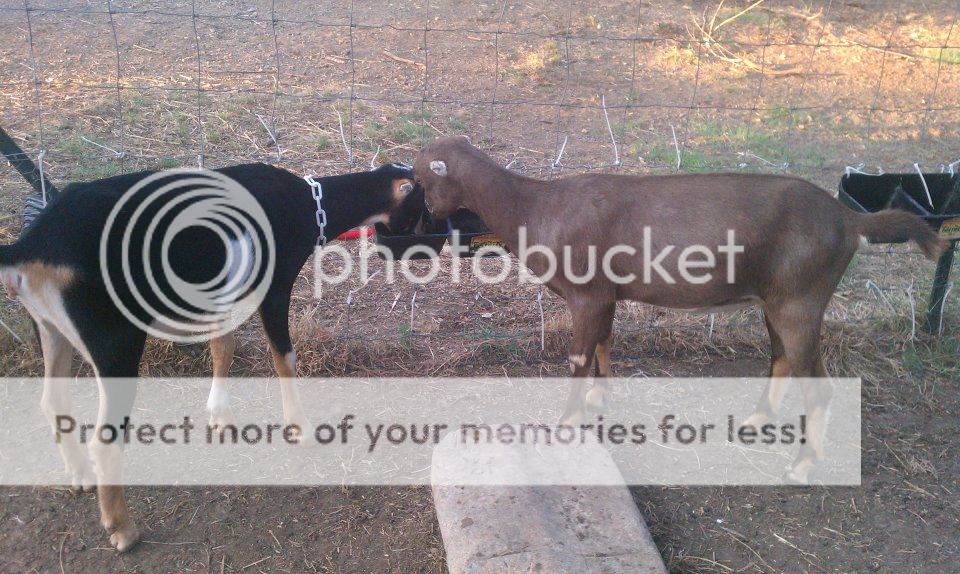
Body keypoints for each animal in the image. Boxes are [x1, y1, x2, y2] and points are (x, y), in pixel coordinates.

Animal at [0, 161, 419, 552]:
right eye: (422, 202)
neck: (306, 203)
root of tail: (28, 250)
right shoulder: (275, 285)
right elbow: (284, 357)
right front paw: (300, 428)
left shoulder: (219, 296)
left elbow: (224, 348)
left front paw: (220, 416)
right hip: (113, 341)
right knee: (104, 438)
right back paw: (122, 531)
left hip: (48, 326)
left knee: (53, 401)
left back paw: (80, 476)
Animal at [412, 136, 946, 483]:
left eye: (421, 180)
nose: (428, 218)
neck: (535, 208)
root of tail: (849, 220)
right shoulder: (606, 293)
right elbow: (605, 341)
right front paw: (600, 399)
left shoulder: (587, 292)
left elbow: (579, 356)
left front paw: (565, 422)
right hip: (777, 299)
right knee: (780, 357)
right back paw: (756, 420)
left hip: (801, 299)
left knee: (819, 386)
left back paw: (801, 466)